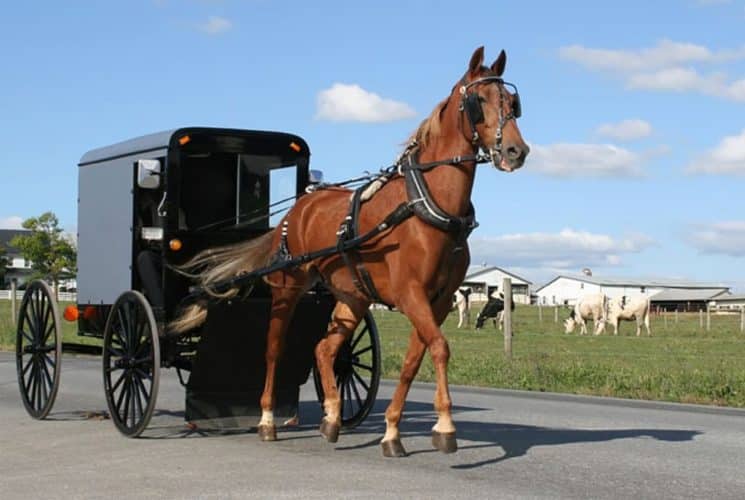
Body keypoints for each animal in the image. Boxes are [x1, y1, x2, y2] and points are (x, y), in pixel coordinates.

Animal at [171, 47, 528, 458]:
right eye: (479, 101)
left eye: (512, 103)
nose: (516, 151)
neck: (427, 206)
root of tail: (297, 209)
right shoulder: (411, 294)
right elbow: (439, 348)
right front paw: (445, 425)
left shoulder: (437, 301)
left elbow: (413, 360)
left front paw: (391, 431)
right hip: (288, 289)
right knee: (274, 349)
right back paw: (267, 420)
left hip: (352, 295)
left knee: (325, 349)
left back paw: (331, 417)